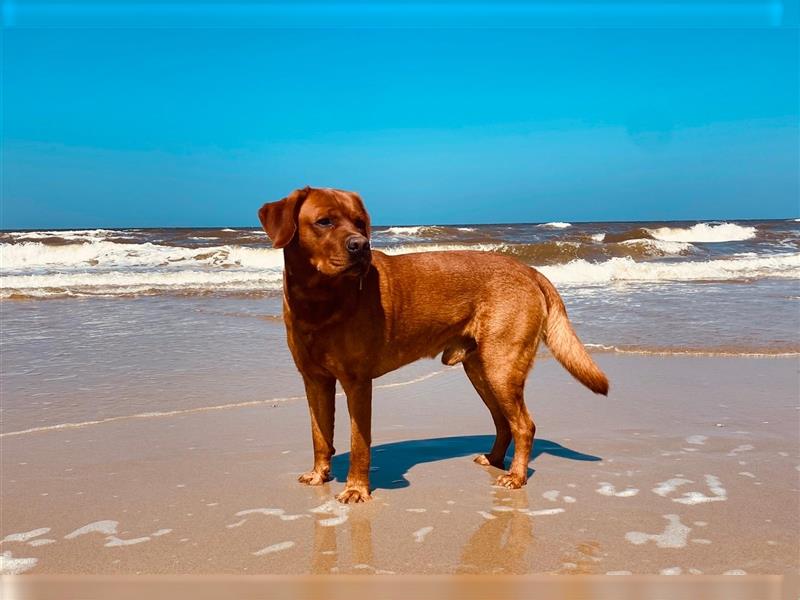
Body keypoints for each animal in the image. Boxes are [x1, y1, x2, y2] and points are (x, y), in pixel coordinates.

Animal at [258, 186, 608, 502]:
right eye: (324, 221)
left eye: (359, 222)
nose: (361, 245)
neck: (317, 302)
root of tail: (530, 270)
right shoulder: (314, 380)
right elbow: (320, 435)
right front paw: (319, 474)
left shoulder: (357, 383)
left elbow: (359, 442)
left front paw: (356, 489)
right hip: (480, 369)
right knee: (503, 421)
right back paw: (494, 460)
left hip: (502, 367)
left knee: (524, 424)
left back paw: (516, 476)